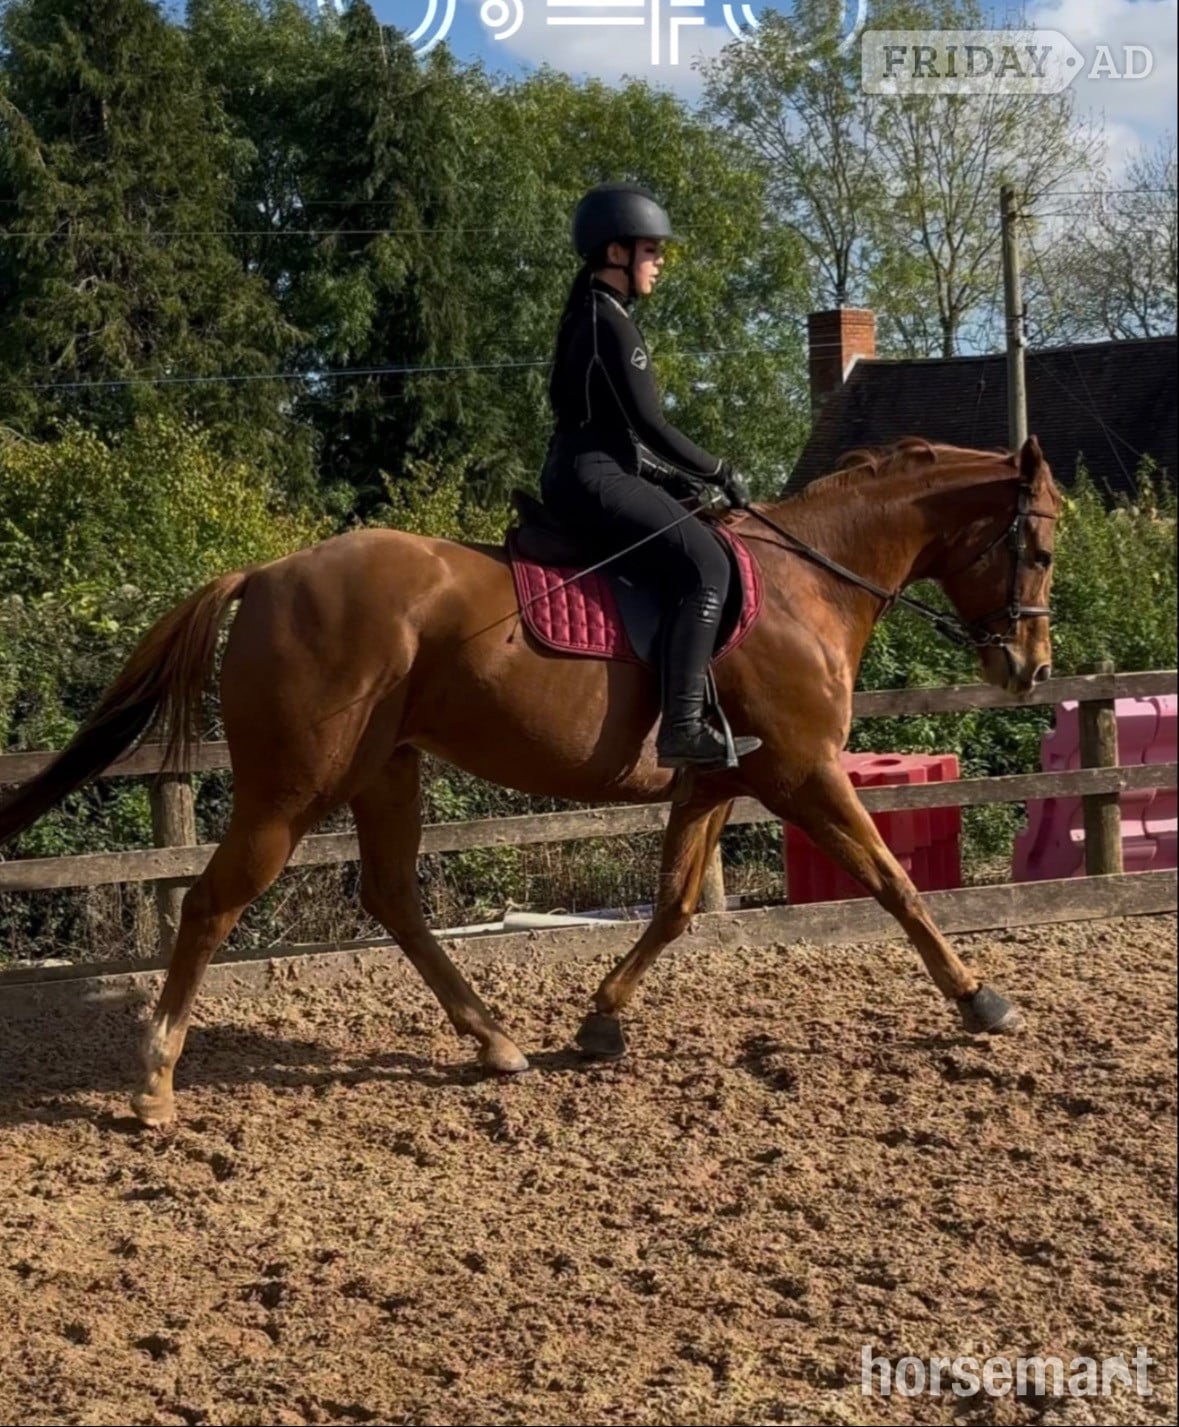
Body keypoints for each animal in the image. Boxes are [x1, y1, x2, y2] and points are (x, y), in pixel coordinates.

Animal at [0, 435, 1062, 1126]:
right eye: (1040, 546)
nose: (1029, 668)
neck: (807, 586)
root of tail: (263, 574)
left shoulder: (715, 785)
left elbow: (674, 905)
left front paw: (598, 1021)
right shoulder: (803, 772)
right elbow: (894, 884)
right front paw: (980, 1000)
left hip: (387, 771)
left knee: (391, 897)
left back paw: (495, 1042)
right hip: (290, 789)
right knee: (213, 902)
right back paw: (154, 1083)